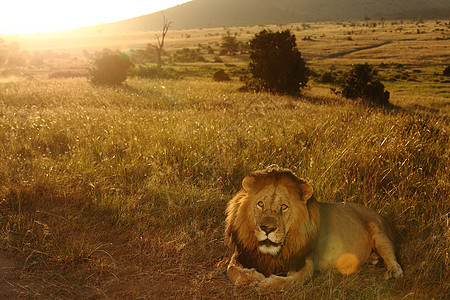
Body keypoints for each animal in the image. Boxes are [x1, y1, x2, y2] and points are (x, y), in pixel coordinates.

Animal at [225, 165, 404, 290]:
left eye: (284, 207)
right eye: (260, 204)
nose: (267, 229)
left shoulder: (306, 262)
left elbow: (292, 281)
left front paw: (266, 283)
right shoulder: (241, 253)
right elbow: (231, 270)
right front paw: (252, 277)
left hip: (378, 230)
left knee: (390, 254)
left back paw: (393, 271)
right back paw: (372, 259)